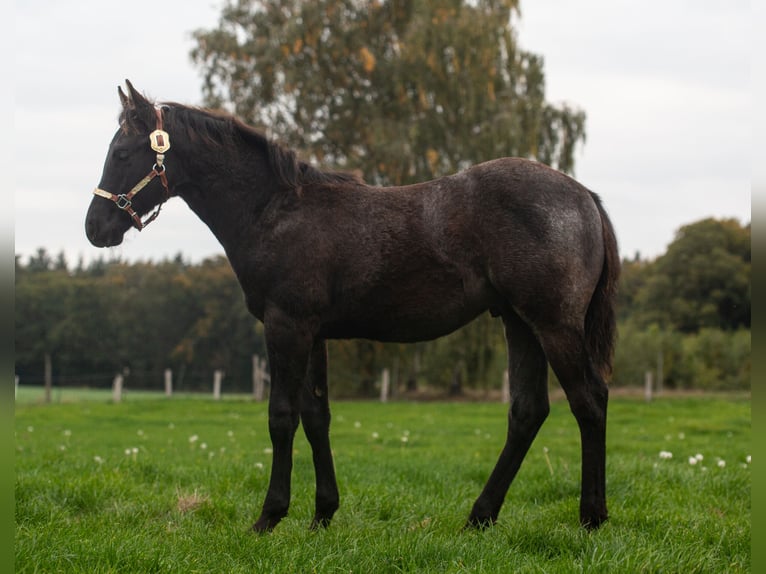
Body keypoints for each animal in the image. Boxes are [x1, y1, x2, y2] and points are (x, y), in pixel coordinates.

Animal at [86, 80, 619, 533]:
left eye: (122, 152)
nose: (95, 227)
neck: (275, 210)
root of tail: (585, 197)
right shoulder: (313, 333)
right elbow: (316, 416)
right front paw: (322, 514)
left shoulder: (286, 326)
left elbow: (282, 416)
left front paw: (269, 517)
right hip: (519, 323)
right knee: (528, 411)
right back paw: (480, 517)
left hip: (553, 325)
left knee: (589, 401)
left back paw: (590, 518)